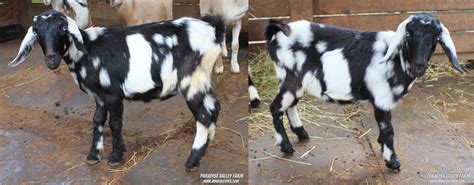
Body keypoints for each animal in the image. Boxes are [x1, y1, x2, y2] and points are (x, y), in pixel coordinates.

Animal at [9, 10, 224, 171]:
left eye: (62, 28)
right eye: (37, 31)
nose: (51, 59)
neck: (87, 50)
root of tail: (212, 30)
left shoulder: (113, 94)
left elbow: (114, 123)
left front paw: (115, 156)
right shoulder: (99, 96)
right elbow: (97, 120)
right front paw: (94, 155)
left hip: (192, 80)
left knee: (203, 115)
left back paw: (192, 160)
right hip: (202, 79)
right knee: (214, 107)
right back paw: (207, 144)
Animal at [264, 13, 464, 172]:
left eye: (436, 37)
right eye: (408, 33)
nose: (419, 65)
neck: (397, 59)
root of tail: (276, 32)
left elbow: (384, 131)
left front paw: (381, 145)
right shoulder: (382, 99)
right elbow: (388, 130)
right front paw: (392, 161)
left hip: (296, 83)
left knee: (290, 106)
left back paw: (301, 133)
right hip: (291, 78)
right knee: (275, 108)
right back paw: (286, 146)